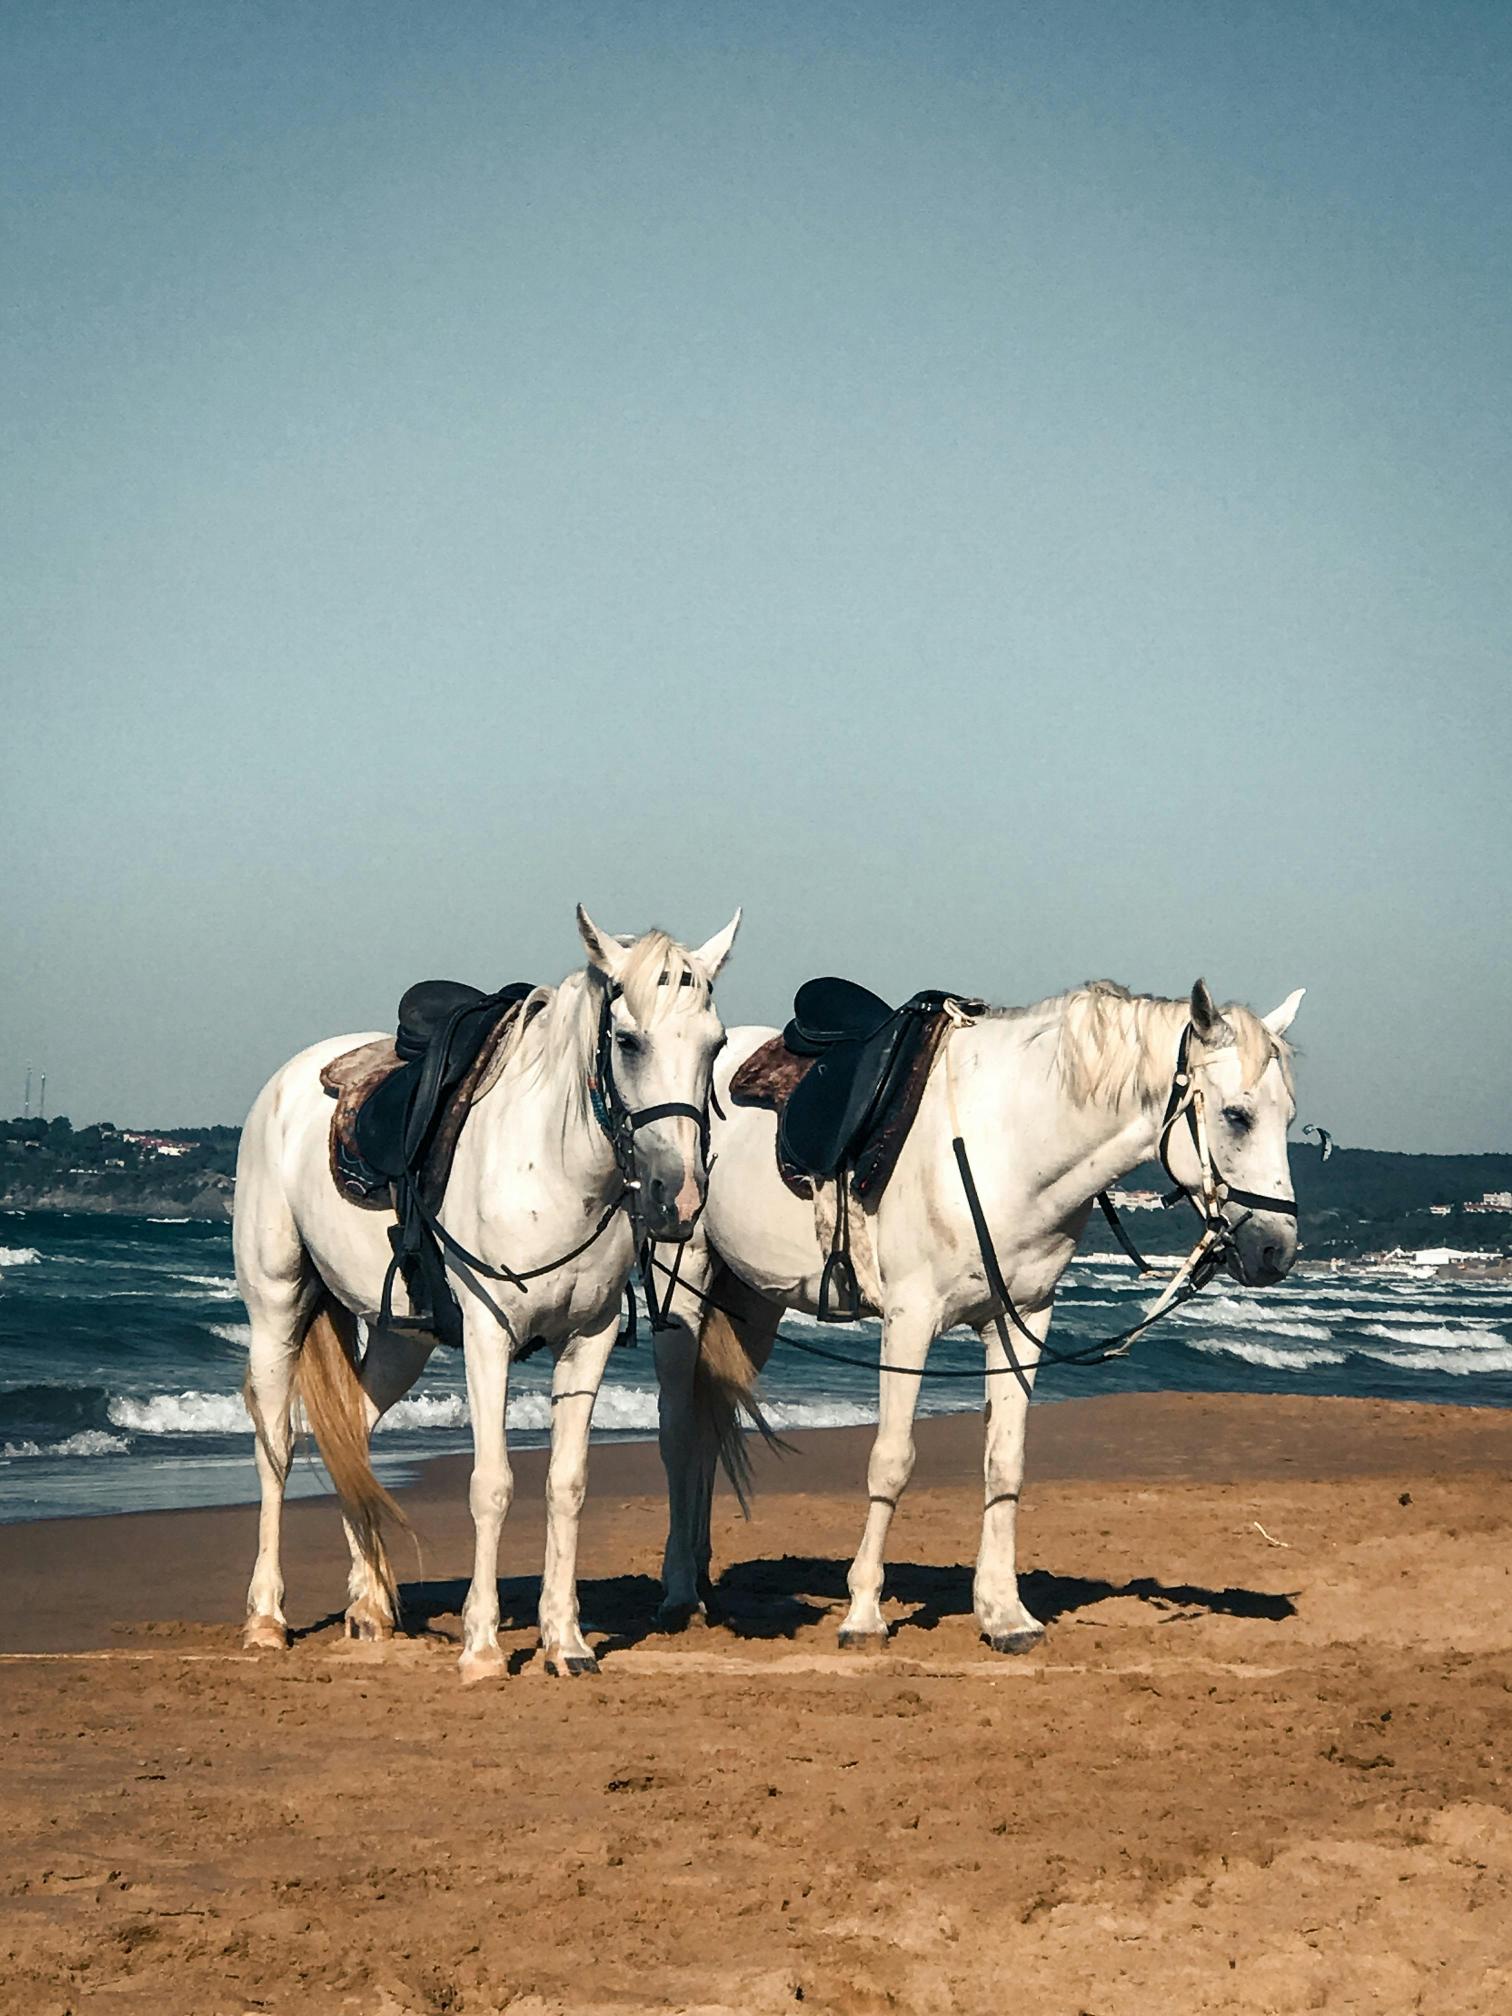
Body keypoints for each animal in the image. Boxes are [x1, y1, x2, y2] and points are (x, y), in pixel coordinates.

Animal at [234, 905, 740, 1681]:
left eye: (714, 1046)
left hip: (401, 1336)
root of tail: (284, 1086)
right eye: (628, 1040)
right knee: (276, 1446)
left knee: (353, 1430)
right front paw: (481, 1646)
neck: (555, 1167)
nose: (677, 1197)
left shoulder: (588, 1340)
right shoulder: (488, 1337)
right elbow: (492, 1485)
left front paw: (566, 1641)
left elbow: (567, 1483)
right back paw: (266, 1618)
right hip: (276, 1307)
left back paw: (370, 1604)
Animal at [652, 976, 1304, 1651]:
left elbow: (1004, 1461)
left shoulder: (1023, 1321)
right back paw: (679, 1591)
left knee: (709, 1427)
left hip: (750, 1302)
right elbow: (891, 1460)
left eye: (1289, 1117)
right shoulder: (910, 1322)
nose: (1277, 1250)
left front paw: (1003, 1613)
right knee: (679, 1432)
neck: (1007, 1145)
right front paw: (864, 1613)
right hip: (683, 1283)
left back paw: (702, 1578)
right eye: (1236, 1115)